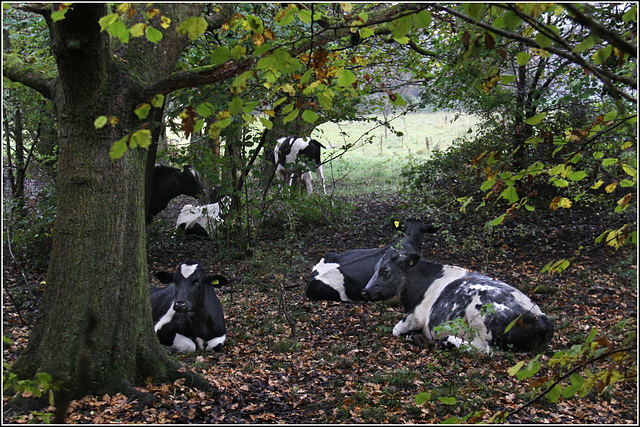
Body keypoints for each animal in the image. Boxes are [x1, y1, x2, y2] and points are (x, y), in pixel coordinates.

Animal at [362, 247, 552, 354]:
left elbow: (395, 330)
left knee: (483, 349)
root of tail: (541, 316)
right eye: (375, 268)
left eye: (385, 270)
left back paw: (446, 341)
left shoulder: (413, 317)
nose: (365, 291)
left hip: (479, 312)